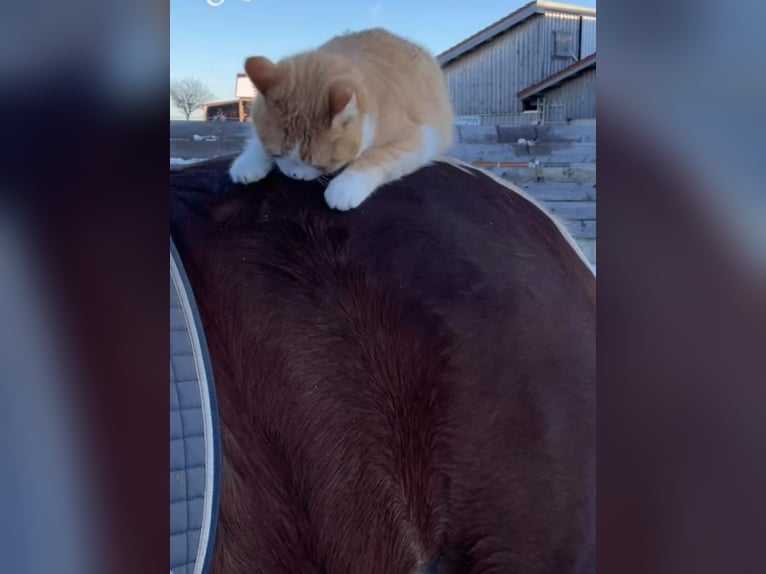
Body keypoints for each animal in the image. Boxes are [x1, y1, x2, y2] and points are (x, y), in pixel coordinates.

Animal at [228, 27, 456, 212]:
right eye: (275, 153)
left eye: (319, 164)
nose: (294, 176)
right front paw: (248, 161)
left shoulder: (418, 138)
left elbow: (377, 157)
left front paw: (346, 187)